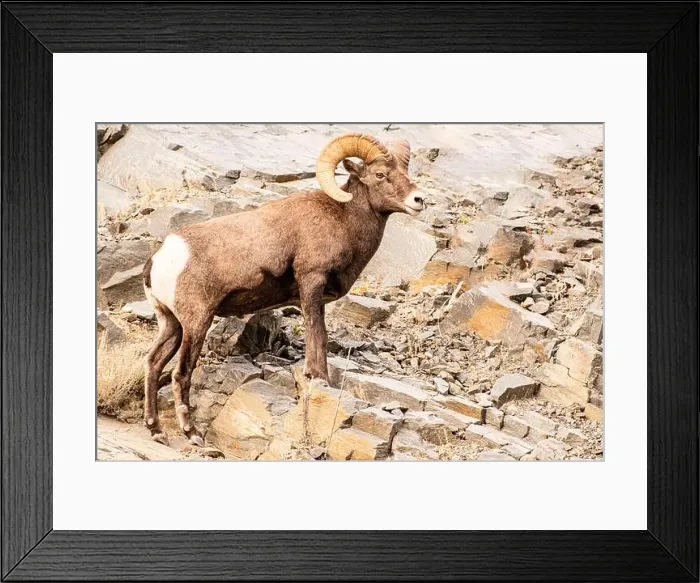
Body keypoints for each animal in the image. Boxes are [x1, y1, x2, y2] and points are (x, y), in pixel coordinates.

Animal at [142, 133, 425, 445]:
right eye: (380, 174)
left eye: (405, 172)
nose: (419, 200)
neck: (344, 218)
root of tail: (163, 257)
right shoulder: (311, 282)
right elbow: (317, 334)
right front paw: (318, 377)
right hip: (196, 322)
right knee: (181, 373)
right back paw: (192, 433)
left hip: (172, 324)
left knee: (153, 363)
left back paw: (156, 430)